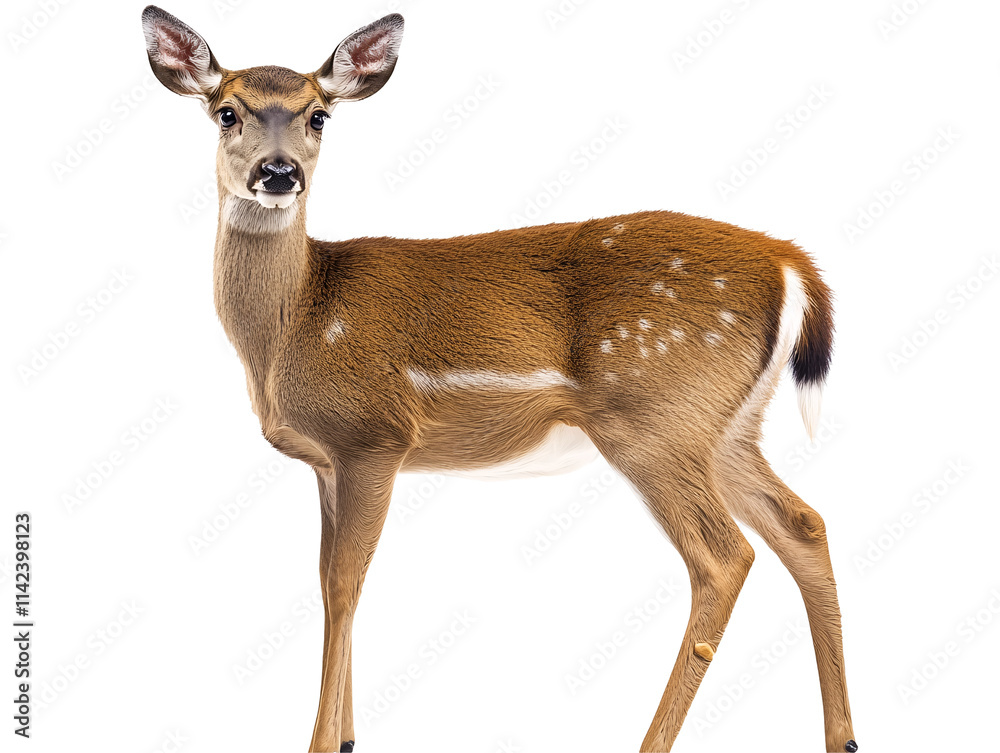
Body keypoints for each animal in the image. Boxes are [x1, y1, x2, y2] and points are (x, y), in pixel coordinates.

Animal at [141, 5, 857, 752]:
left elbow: (344, 585)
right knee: (804, 523)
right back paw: (843, 736)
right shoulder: (328, 460)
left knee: (724, 558)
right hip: (727, 427)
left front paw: (322, 741)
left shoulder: (373, 435)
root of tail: (790, 264)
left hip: (654, 417)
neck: (296, 323)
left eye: (318, 115)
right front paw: (348, 736)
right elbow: (329, 582)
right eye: (226, 111)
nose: (278, 173)